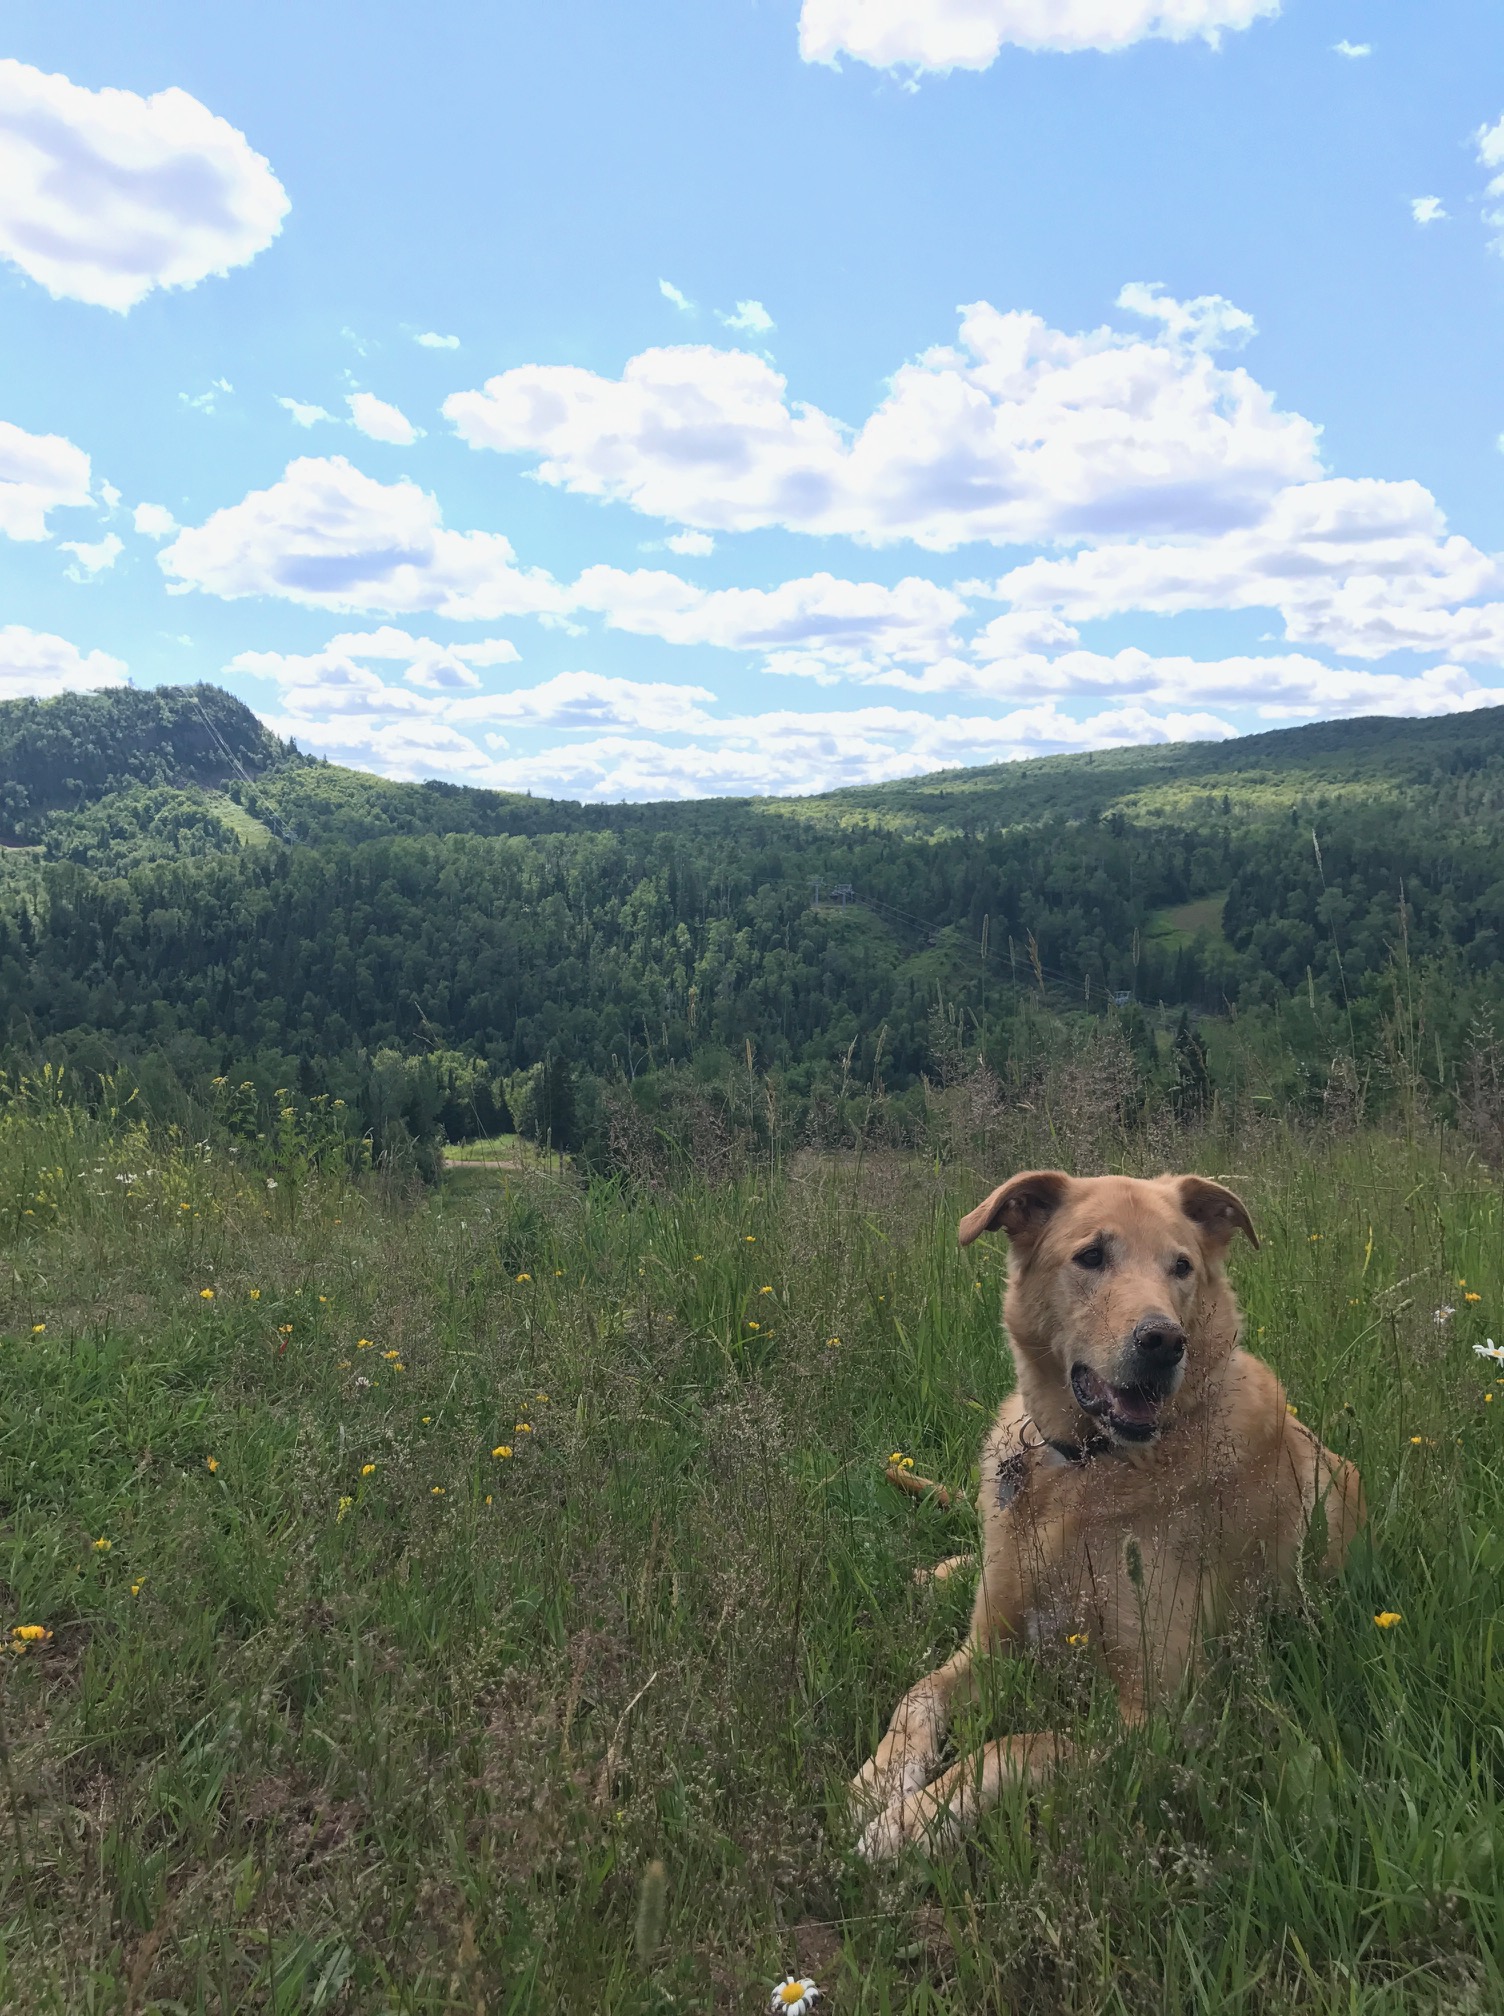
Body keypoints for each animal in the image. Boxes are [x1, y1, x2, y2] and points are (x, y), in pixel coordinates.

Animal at [852, 1170, 1365, 1863]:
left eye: (1182, 1266)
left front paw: (916, 1819)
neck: (1085, 1470)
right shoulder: (986, 1648)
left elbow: (1017, 1745)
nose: (1164, 1341)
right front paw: (879, 1781)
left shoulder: (1160, 1718)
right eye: (1091, 1256)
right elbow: (917, 1696)